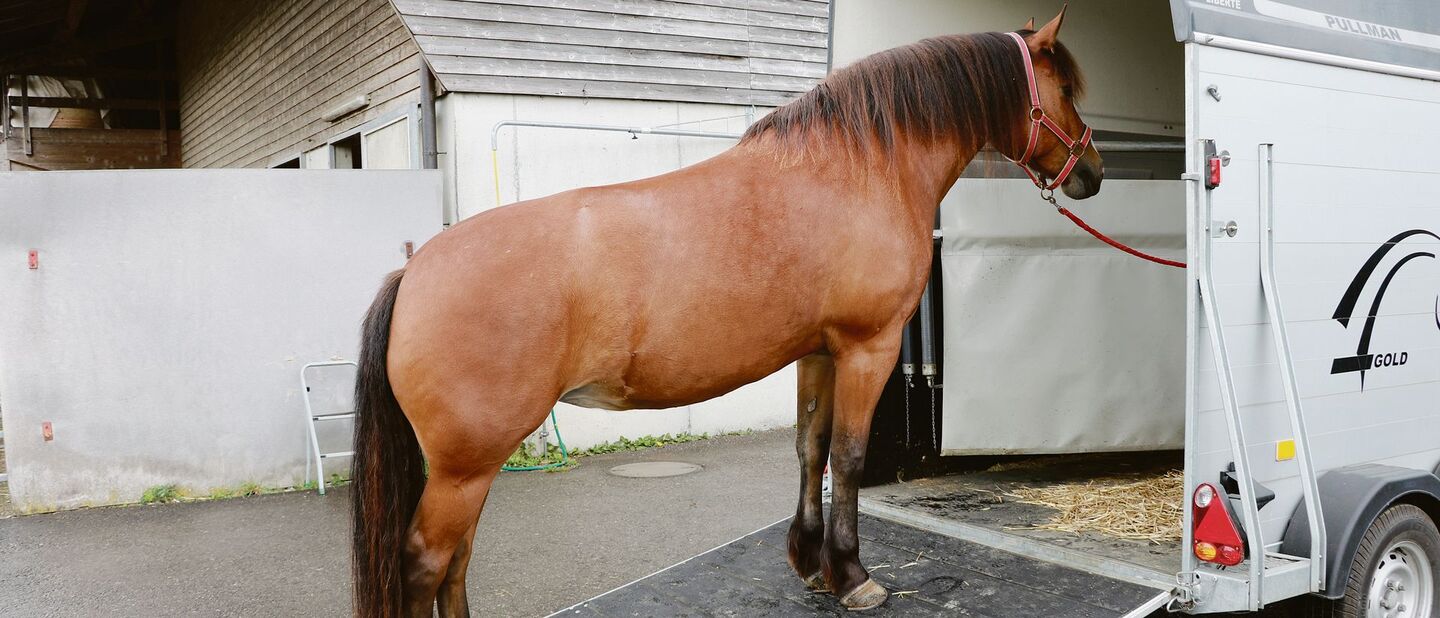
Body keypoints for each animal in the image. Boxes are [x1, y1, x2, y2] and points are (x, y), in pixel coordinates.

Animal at [351, 7, 1101, 616]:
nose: (1093, 172)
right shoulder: (869, 347)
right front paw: (854, 576)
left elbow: (809, 448)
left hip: (469, 468)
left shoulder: (818, 351)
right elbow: (850, 456)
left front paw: (811, 563)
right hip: (464, 467)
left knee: (456, 565)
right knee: (425, 564)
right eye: (1064, 90)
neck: (859, 169)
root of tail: (413, 271)